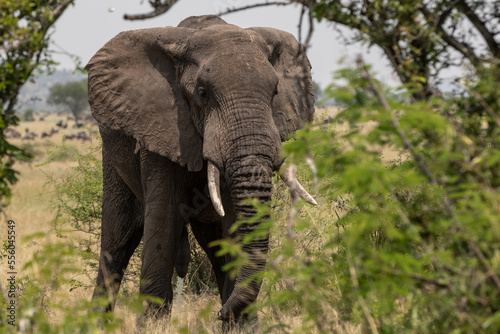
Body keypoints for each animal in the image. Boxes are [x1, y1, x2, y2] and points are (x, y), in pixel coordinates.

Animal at [84, 15, 314, 326]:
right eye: (202, 94)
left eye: (275, 92)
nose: (219, 314)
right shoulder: (161, 128)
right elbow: (164, 218)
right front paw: (154, 326)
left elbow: (233, 222)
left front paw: (241, 325)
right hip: (112, 153)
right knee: (118, 237)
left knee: (214, 246)